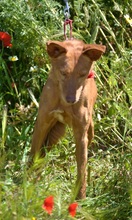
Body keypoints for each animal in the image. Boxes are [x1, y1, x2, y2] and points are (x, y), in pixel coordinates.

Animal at [30, 39, 105, 199]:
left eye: (82, 74)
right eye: (63, 73)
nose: (71, 100)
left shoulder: (81, 134)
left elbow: (81, 170)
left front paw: (80, 199)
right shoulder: (42, 124)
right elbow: (33, 156)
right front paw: (26, 184)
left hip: (88, 131)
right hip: (53, 134)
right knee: (40, 156)